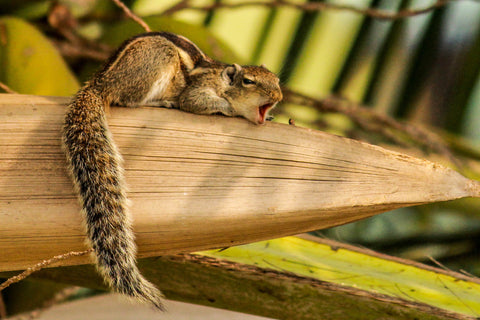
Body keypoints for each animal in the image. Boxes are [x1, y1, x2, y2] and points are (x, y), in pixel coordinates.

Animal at [62, 31, 284, 310]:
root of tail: (98, 84)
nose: (278, 97)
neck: (221, 77)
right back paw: (163, 102)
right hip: (157, 60)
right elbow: (198, 102)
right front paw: (232, 109)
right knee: (128, 100)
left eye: (277, 80)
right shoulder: (197, 92)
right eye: (249, 81)